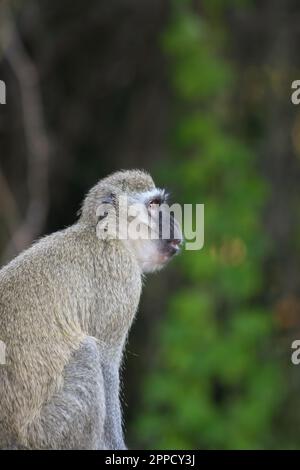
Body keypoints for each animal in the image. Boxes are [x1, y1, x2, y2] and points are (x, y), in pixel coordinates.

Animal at [0, 171, 183, 450]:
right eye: (153, 205)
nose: (174, 225)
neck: (109, 236)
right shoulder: (123, 280)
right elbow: (106, 362)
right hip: (43, 434)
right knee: (87, 352)